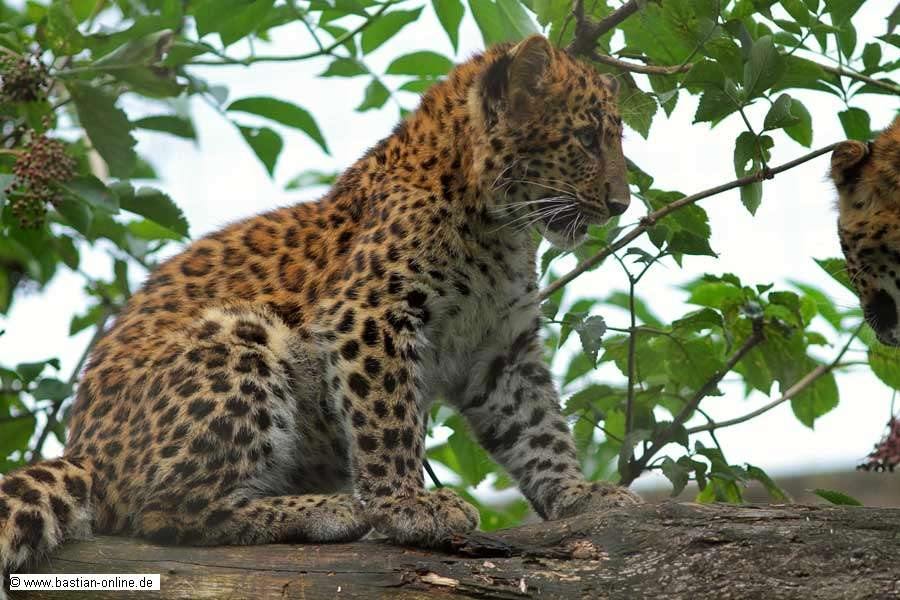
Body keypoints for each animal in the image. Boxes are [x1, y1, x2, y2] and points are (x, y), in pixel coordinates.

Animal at [0, 34, 641, 588]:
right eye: (587, 139)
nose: (621, 205)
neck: (500, 228)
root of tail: (85, 454)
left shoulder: (499, 349)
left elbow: (539, 426)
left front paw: (579, 494)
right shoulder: (369, 315)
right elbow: (389, 422)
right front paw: (409, 507)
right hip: (241, 336)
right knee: (165, 513)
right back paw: (325, 509)